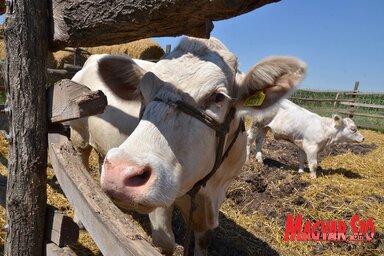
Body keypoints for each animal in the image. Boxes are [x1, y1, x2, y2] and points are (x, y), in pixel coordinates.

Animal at [71, 37, 306, 255]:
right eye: (142, 93)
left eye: (218, 97)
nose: (120, 172)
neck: (208, 185)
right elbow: (165, 241)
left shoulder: (215, 198)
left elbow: (203, 240)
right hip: (79, 135)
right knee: (79, 171)